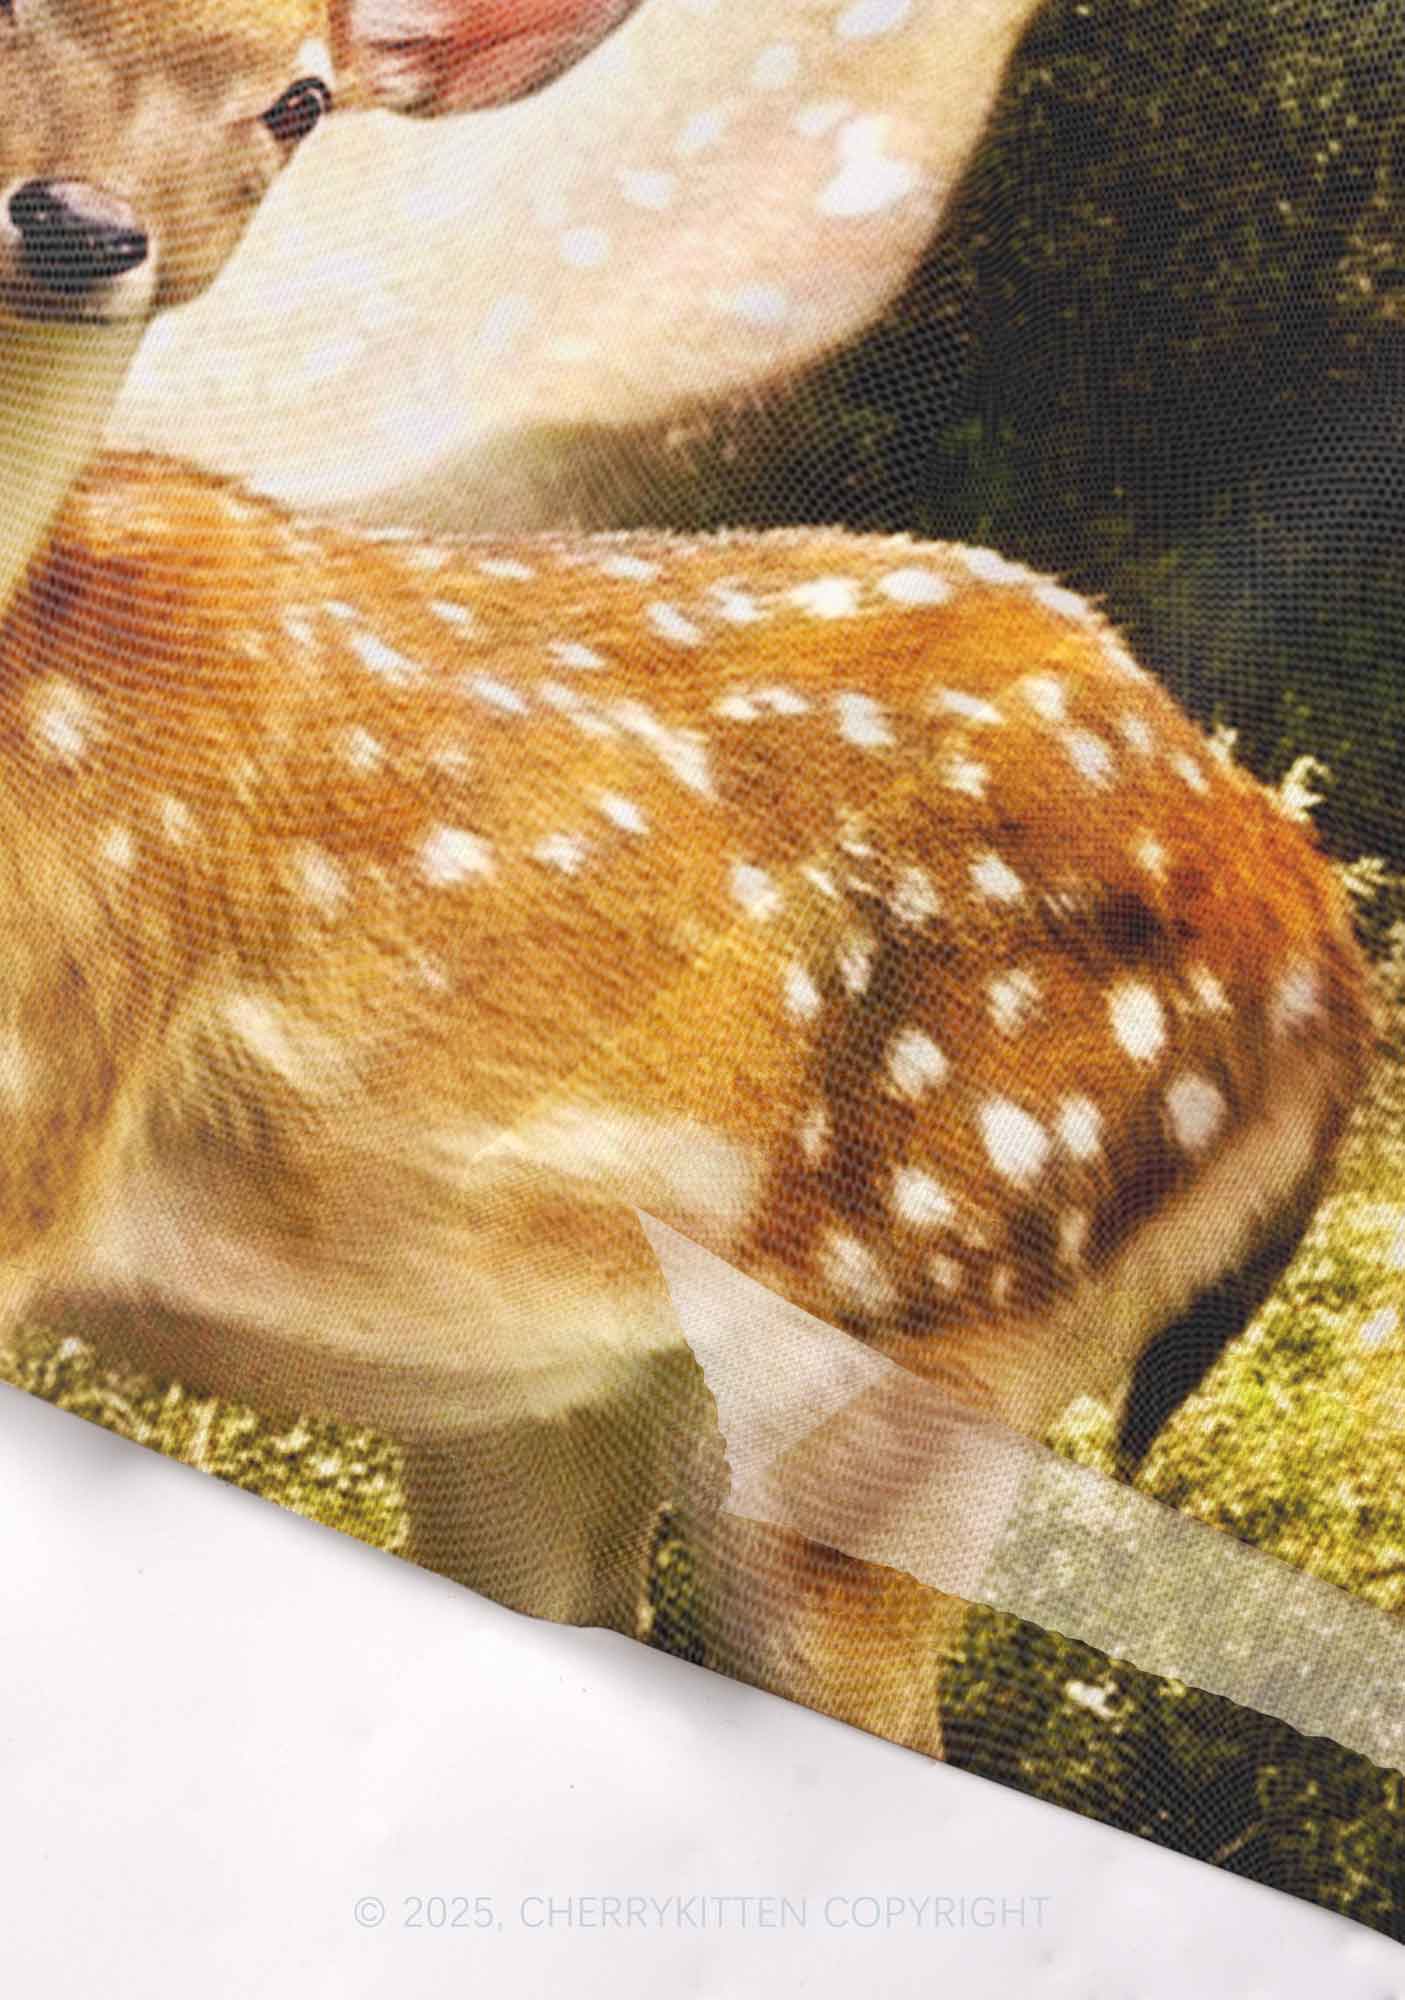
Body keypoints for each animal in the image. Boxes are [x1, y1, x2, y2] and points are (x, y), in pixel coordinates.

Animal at [0, 0, 1374, 1763]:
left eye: (298, 100)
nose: (79, 225)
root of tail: (1321, 918)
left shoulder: (37, 1133)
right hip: (553, 1392)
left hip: (930, 1328)